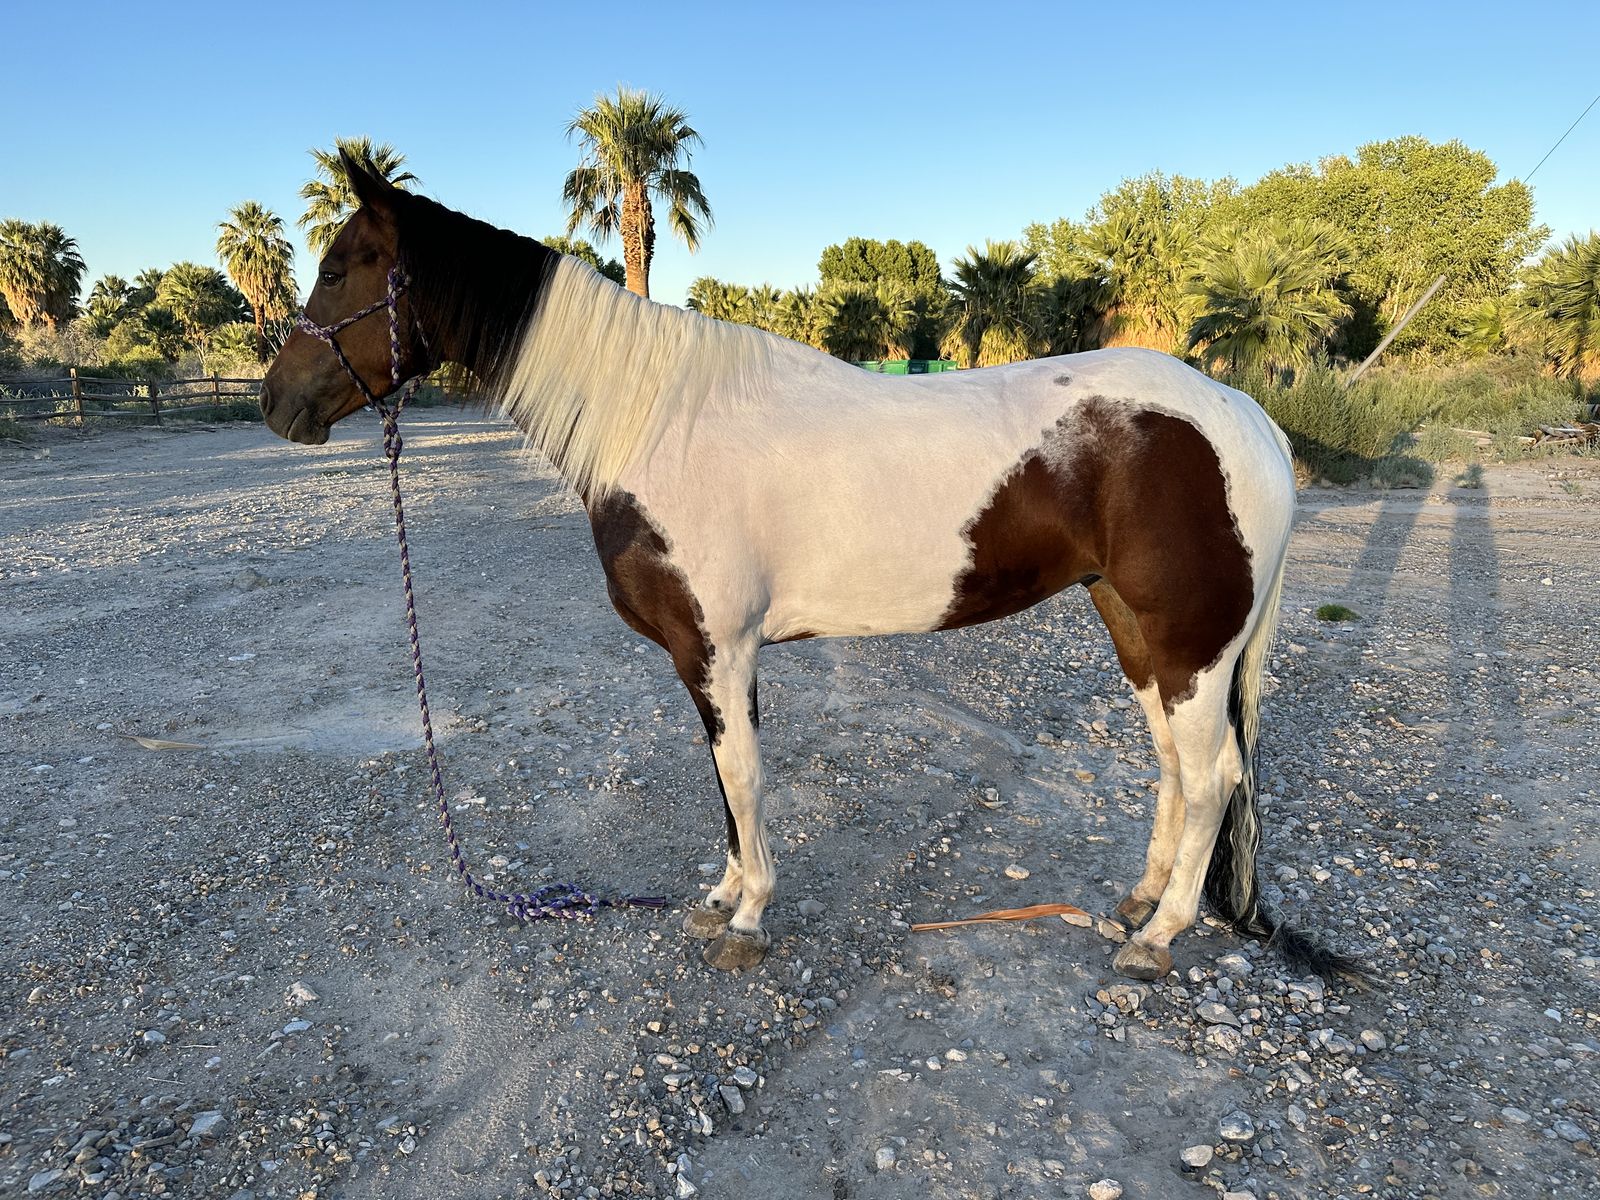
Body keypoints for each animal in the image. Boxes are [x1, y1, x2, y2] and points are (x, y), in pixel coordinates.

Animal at [261, 152, 1356, 983]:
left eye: (347, 266)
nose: (277, 403)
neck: (660, 420)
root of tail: (1243, 414)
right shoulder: (706, 657)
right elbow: (721, 779)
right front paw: (723, 893)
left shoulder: (718, 650)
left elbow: (741, 776)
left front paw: (749, 916)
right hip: (1139, 634)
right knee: (1176, 765)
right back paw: (1138, 901)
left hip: (1189, 647)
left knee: (1213, 777)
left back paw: (1158, 938)